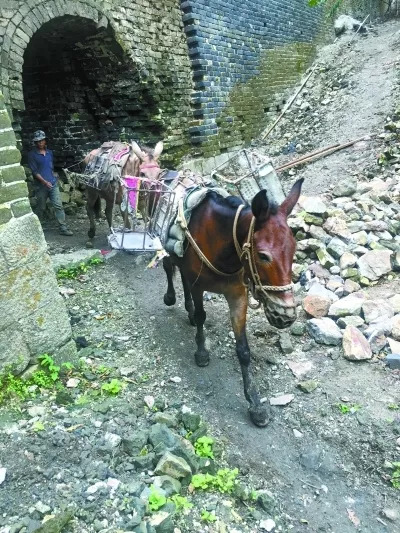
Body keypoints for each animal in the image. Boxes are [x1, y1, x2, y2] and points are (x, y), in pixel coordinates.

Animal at [162, 178, 303, 427]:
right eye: (263, 255)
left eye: (294, 249)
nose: (285, 316)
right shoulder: (199, 286)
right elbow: (202, 316)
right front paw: (201, 353)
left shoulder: (238, 294)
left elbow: (243, 350)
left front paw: (255, 404)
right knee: (169, 265)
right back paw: (171, 298)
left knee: (181, 275)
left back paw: (188, 311)